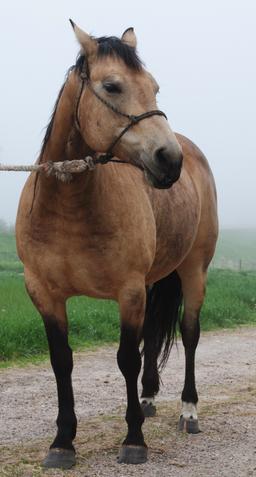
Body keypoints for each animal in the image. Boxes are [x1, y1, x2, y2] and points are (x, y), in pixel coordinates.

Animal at [14, 21, 218, 464]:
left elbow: (126, 358)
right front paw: (62, 442)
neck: (71, 209)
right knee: (153, 337)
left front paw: (134, 440)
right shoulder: (44, 294)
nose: (169, 160)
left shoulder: (128, 291)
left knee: (189, 333)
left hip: (194, 270)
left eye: (154, 87)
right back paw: (148, 399)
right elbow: (62, 361)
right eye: (112, 86)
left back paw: (188, 411)